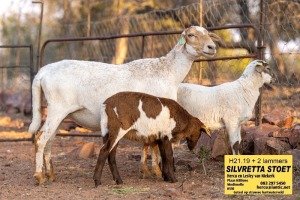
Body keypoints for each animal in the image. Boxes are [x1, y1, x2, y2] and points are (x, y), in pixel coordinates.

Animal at [28, 25, 220, 185]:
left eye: (208, 34)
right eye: (191, 35)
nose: (211, 47)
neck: (168, 72)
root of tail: (43, 72)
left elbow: (147, 144)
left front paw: (146, 171)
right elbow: (154, 146)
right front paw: (157, 171)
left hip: (59, 113)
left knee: (49, 141)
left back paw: (50, 175)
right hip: (57, 109)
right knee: (40, 139)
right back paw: (39, 176)